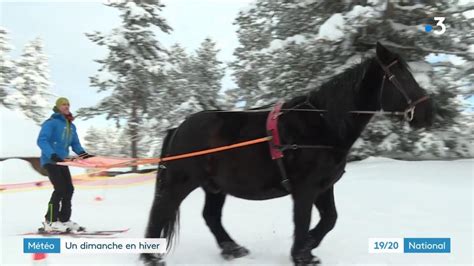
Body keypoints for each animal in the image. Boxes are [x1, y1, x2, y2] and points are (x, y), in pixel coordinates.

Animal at [140, 42, 434, 264]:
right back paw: (150, 257)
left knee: (210, 217)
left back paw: (232, 249)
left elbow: (329, 219)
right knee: (160, 211)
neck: (322, 123)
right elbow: (303, 220)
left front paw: (309, 246)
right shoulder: (305, 189)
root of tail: (179, 127)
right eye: (402, 77)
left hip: (215, 187)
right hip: (181, 182)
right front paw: (302, 255)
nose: (427, 112)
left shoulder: (324, 187)